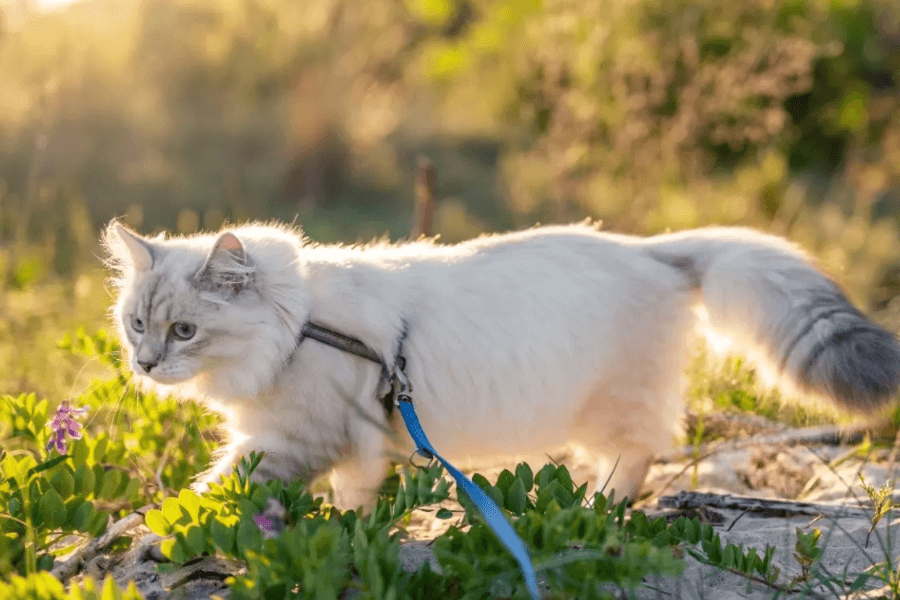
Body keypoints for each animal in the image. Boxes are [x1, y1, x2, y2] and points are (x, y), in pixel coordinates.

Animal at [102, 218, 900, 508]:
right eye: (136, 324)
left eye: (184, 330)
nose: (145, 364)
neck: (300, 327)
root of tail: (651, 248)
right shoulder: (357, 445)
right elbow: (353, 503)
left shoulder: (290, 439)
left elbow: (210, 493)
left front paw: (159, 532)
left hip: (611, 405)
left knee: (637, 456)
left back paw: (598, 509)